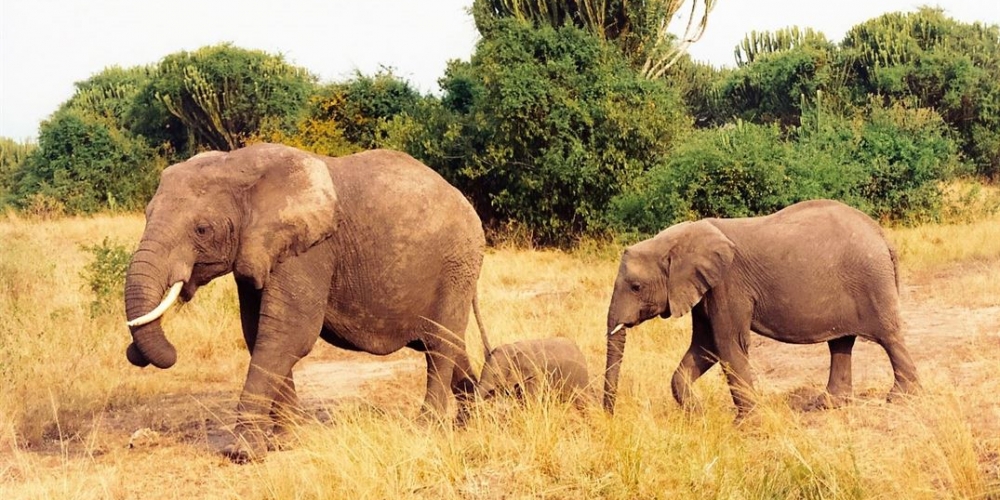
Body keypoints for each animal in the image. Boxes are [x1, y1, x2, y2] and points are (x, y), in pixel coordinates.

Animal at [123, 143, 490, 462]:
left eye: (202, 229)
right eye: (147, 215)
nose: (136, 353)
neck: (239, 164)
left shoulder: (311, 248)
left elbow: (288, 334)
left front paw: (243, 453)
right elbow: (259, 334)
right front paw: (287, 441)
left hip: (457, 264)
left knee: (440, 344)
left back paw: (427, 428)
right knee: (450, 343)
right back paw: (470, 420)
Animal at [600, 199, 920, 418]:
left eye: (636, 287)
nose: (610, 416)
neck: (678, 238)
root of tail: (882, 235)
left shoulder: (728, 284)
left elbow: (728, 344)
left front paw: (747, 422)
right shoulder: (706, 291)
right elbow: (705, 346)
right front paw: (698, 415)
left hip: (871, 281)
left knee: (889, 338)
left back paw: (901, 398)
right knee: (840, 343)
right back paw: (827, 405)